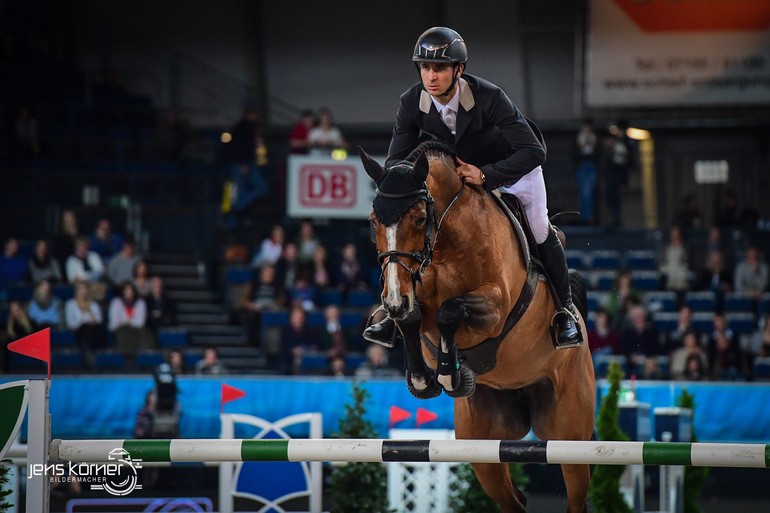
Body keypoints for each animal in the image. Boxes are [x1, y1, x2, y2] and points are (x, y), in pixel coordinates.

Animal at [358, 141, 592, 512]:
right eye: (374, 222)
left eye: (420, 218)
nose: (393, 298)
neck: (443, 244)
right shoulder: (414, 295)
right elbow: (413, 318)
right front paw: (424, 378)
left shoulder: (494, 308)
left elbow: (449, 312)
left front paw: (449, 375)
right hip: (483, 447)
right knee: (512, 499)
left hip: (569, 435)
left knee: (575, 492)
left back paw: (567, 327)